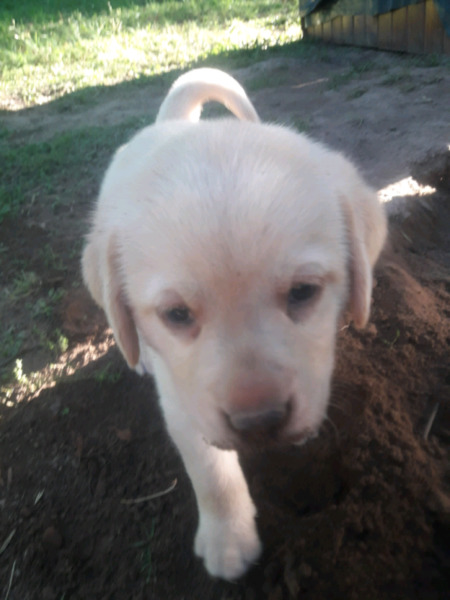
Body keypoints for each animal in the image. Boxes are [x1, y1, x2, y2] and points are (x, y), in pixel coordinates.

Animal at [81, 68, 386, 580]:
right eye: (177, 315)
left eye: (303, 291)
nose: (259, 422)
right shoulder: (184, 403)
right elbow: (211, 472)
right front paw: (228, 540)